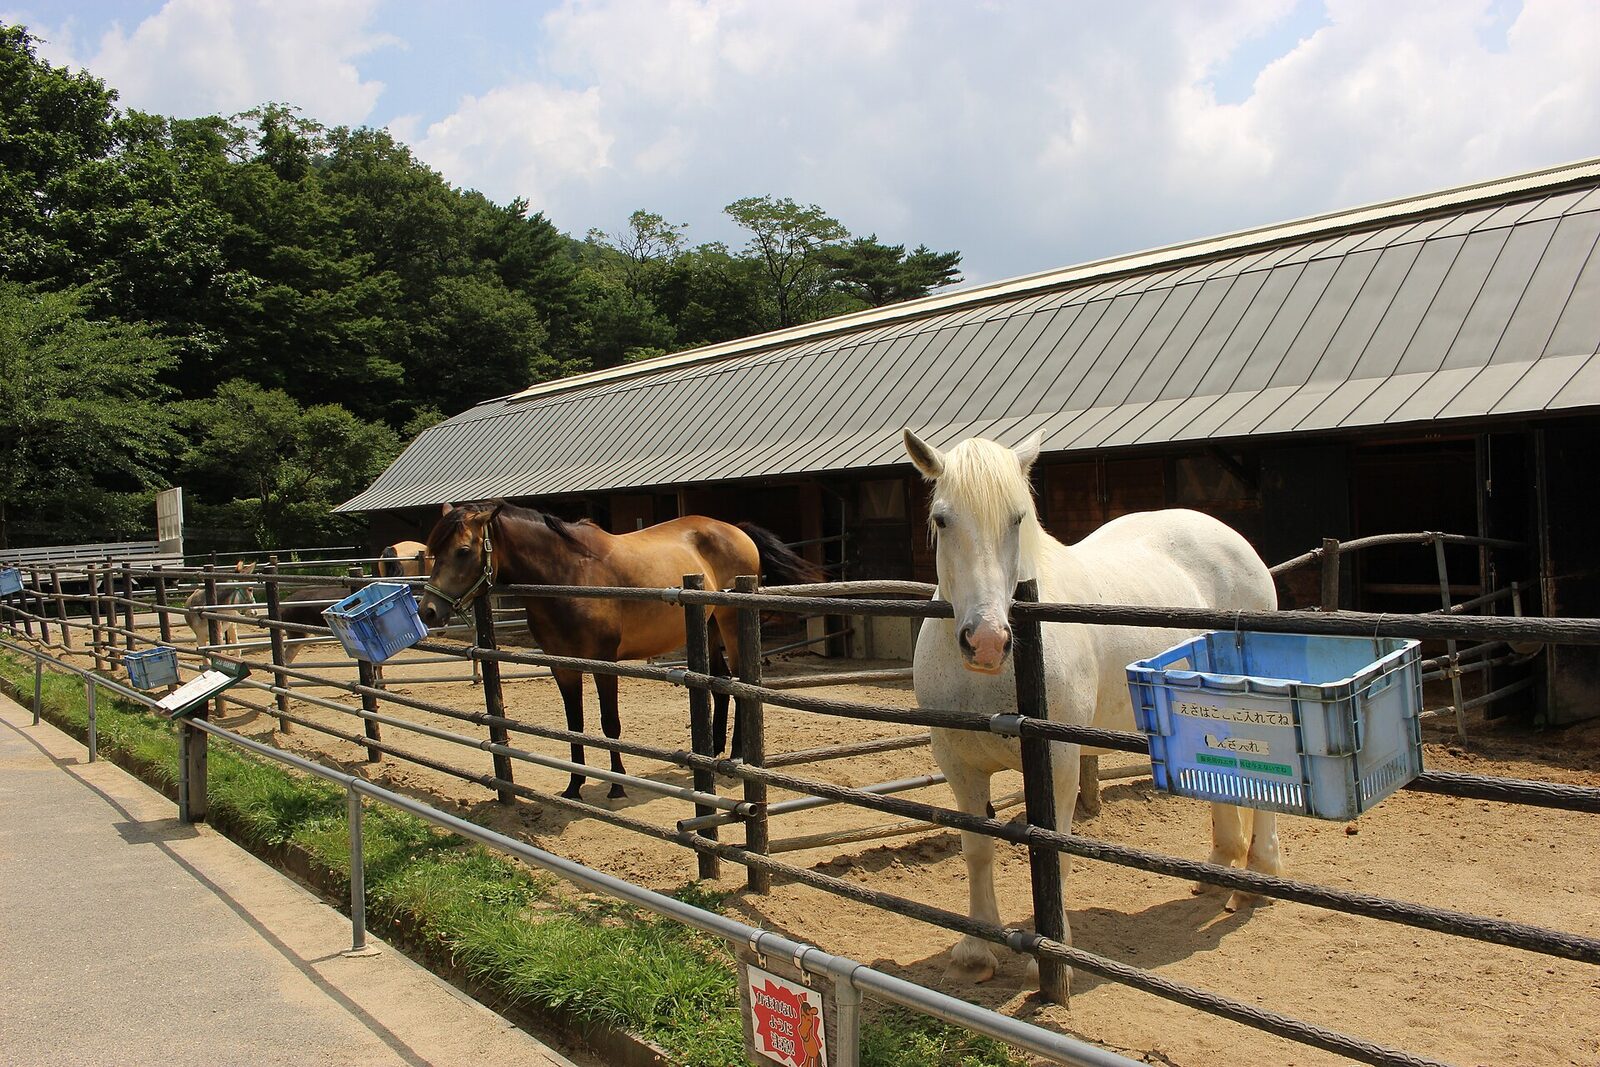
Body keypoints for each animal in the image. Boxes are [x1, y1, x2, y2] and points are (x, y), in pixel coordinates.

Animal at [416, 501, 823, 799]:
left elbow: (609, 724)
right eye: (434, 552)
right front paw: (574, 785)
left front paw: (616, 785)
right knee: (720, 684)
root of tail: (735, 529)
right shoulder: (563, 666)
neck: (569, 574)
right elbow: (575, 724)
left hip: (730, 622)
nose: (428, 611)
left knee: (738, 684)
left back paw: (736, 755)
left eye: (463, 550)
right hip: (706, 627)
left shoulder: (604, 662)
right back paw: (712, 752)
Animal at [901, 429, 1283, 996]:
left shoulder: (1057, 761)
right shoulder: (958, 762)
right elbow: (977, 848)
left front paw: (1049, 954)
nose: (988, 642)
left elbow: (1052, 849)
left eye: (1017, 518)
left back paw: (1257, 877)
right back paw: (1218, 872)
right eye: (942, 519)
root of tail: (1235, 542)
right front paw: (975, 951)